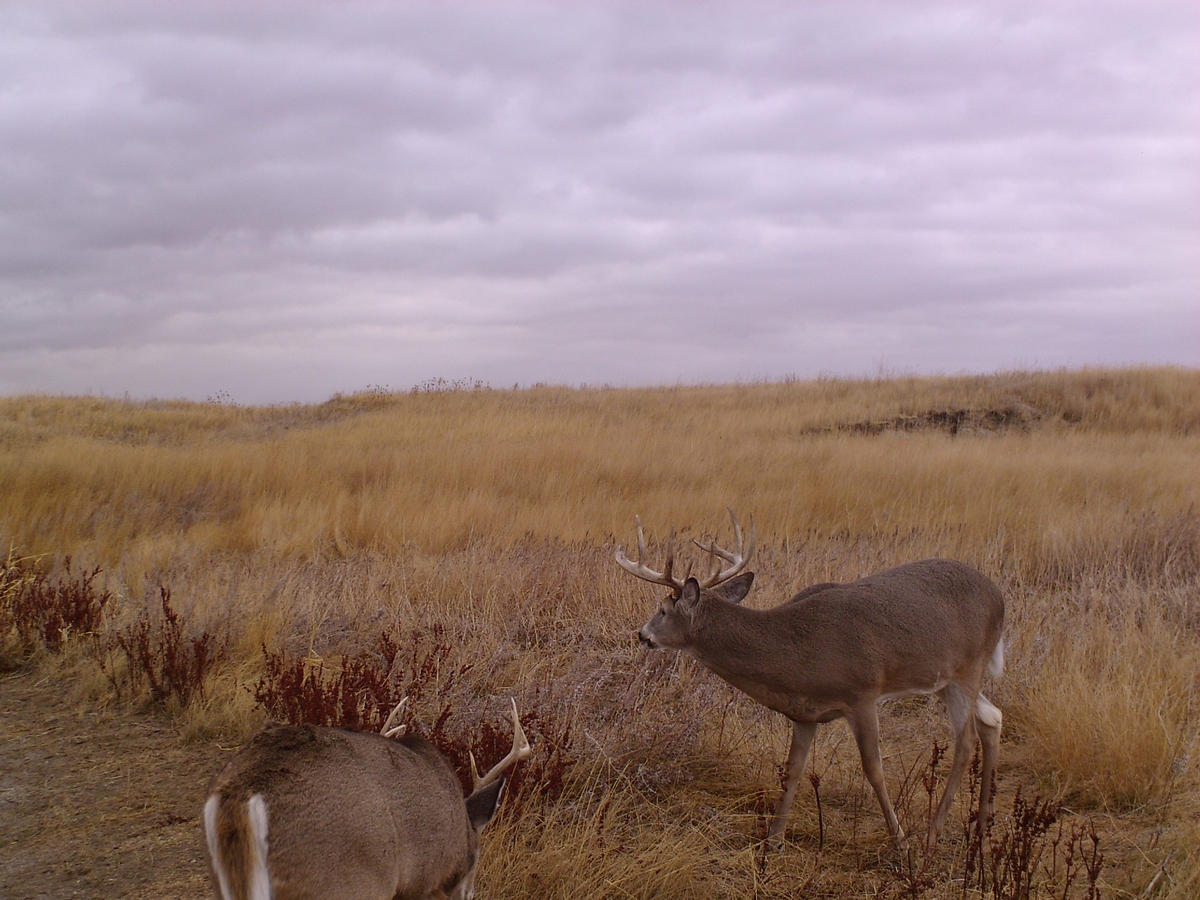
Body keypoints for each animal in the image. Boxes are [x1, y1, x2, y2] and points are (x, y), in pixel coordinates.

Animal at [619, 513, 1003, 854]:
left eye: (663, 610)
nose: (642, 634)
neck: (797, 651)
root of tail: (1000, 599)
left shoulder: (862, 693)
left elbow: (874, 769)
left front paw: (900, 841)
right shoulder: (805, 713)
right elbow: (792, 771)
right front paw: (774, 840)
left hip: (968, 668)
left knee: (966, 741)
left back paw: (933, 835)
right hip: (947, 680)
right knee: (993, 718)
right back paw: (983, 823)